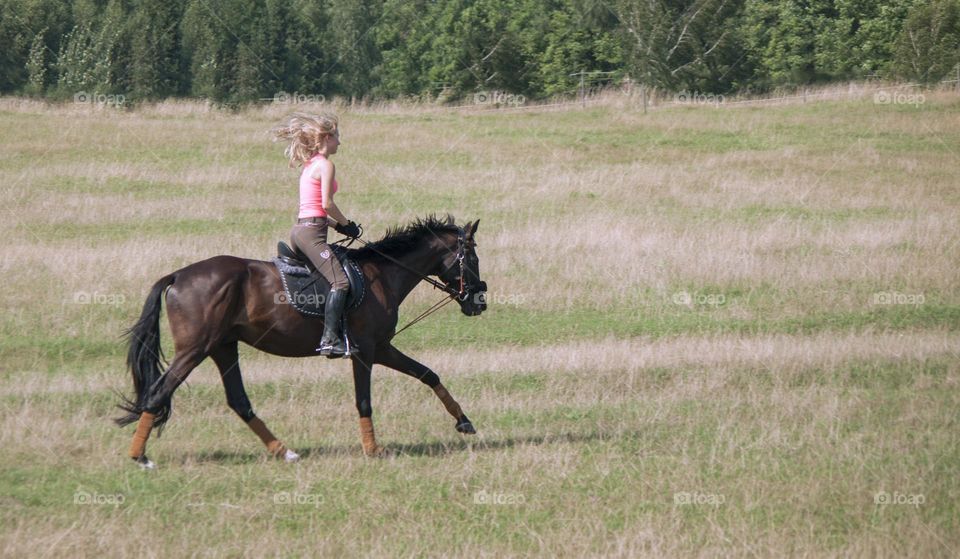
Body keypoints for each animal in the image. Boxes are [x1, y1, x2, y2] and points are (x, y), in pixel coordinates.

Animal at [115, 215, 484, 468]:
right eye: (473, 258)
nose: (479, 302)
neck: (382, 276)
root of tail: (178, 275)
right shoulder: (365, 351)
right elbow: (364, 401)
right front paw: (373, 449)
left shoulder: (382, 348)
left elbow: (428, 374)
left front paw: (464, 421)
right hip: (195, 350)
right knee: (158, 393)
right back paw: (139, 457)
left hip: (223, 347)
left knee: (239, 401)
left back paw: (284, 451)